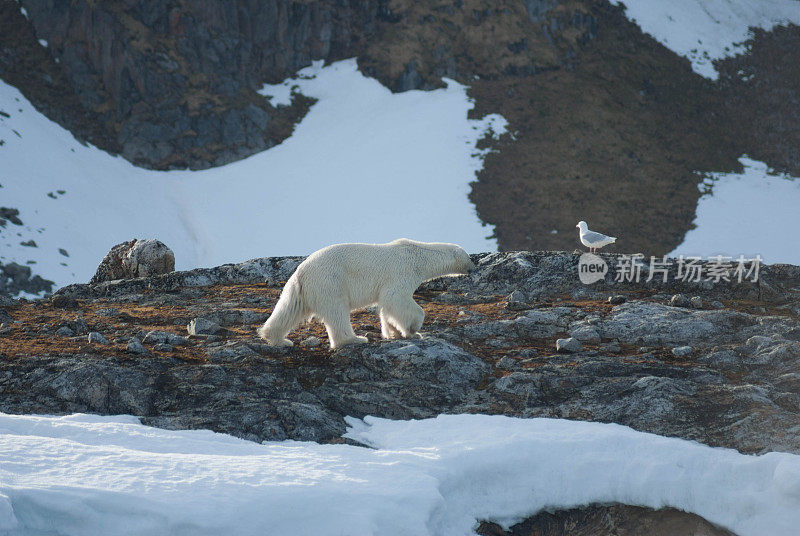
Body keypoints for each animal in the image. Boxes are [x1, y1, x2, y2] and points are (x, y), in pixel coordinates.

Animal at [256, 238, 472, 348]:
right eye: (469, 257)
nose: (473, 267)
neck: (418, 255)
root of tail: (301, 271)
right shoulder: (402, 271)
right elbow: (396, 298)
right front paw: (413, 329)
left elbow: (386, 306)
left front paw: (393, 333)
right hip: (331, 281)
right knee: (337, 311)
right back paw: (354, 339)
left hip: (301, 289)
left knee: (288, 310)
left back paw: (278, 339)